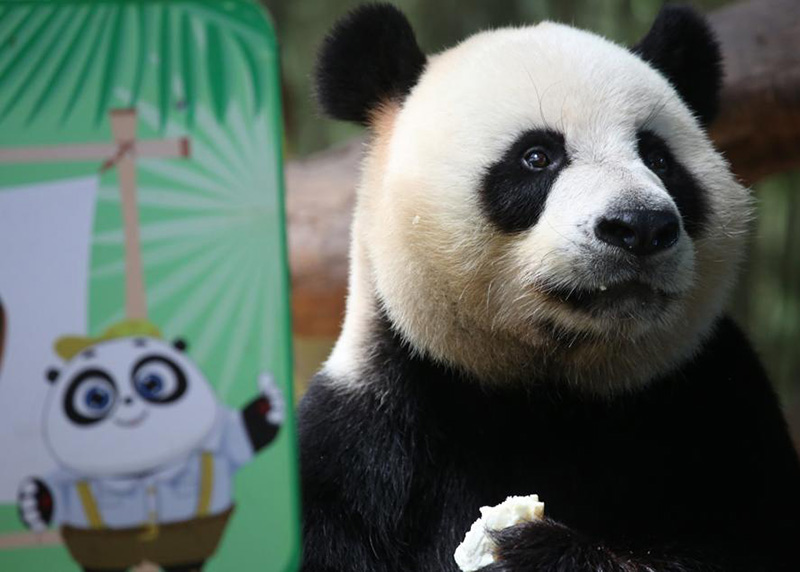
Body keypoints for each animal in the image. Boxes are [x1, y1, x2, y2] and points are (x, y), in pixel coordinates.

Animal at [17, 324, 284, 572]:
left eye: (151, 383)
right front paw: (34, 502)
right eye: (96, 398)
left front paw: (269, 402)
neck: (144, 472)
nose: (127, 400)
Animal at [299, 4, 800, 572]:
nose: (640, 226)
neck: (549, 389)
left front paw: (532, 548)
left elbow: (748, 543)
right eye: (537, 156)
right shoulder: (360, 441)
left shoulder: (721, 402)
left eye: (659, 158)